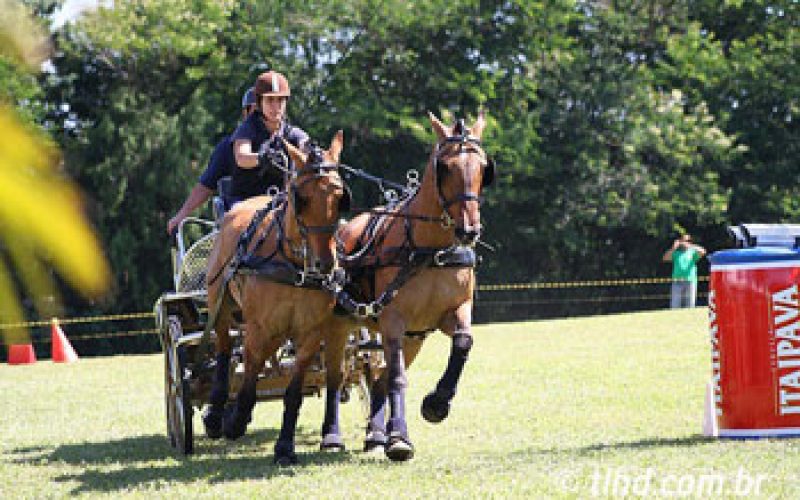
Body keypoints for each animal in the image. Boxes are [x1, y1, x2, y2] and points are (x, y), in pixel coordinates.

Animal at [202, 132, 352, 464]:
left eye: (340, 198)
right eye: (302, 197)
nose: (324, 264)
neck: (293, 265)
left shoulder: (309, 332)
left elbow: (293, 393)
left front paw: (284, 447)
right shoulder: (258, 326)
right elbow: (248, 378)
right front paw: (235, 420)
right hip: (220, 303)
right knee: (224, 349)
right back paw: (217, 413)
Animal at [324, 110, 494, 460]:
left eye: (484, 168)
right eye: (445, 167)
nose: (469, 230)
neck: (429, 250)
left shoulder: (451, 312)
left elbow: (463, 342)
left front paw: (436, 403)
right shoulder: (393, 319)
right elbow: (398, 378)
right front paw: (400, 438)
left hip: (413, 338)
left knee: (377, 378)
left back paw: (376, 434)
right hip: (340, 325)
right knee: (336, 376)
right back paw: (332, 436)